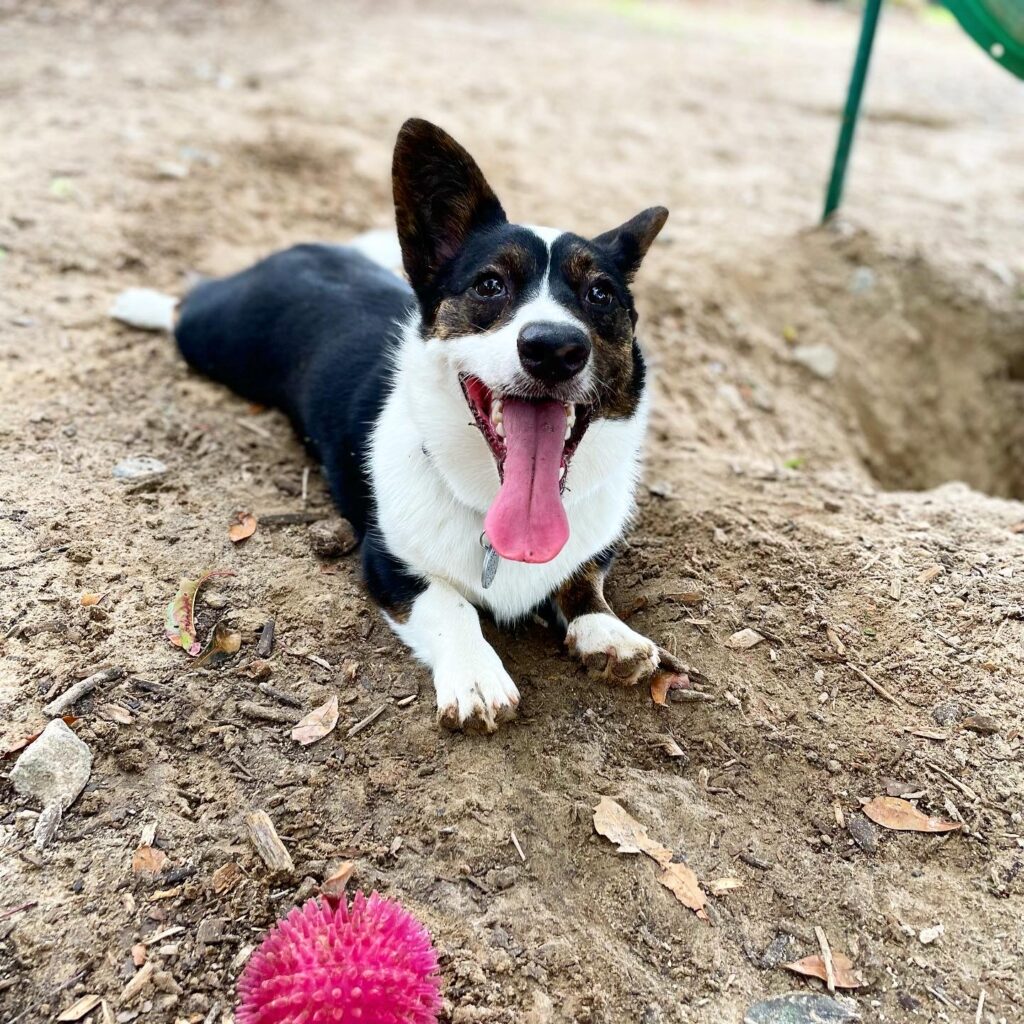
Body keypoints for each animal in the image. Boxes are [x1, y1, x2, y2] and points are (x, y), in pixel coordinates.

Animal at [174, 117, 671, 729]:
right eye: (489, 284)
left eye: (600, 293)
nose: (554, 348)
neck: (488, 505)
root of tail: (296, 250)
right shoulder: (389, 562)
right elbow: (450, 603)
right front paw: (477, 677)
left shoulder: (591, 551)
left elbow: (582, 581)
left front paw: (609, 633)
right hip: (212, 333)